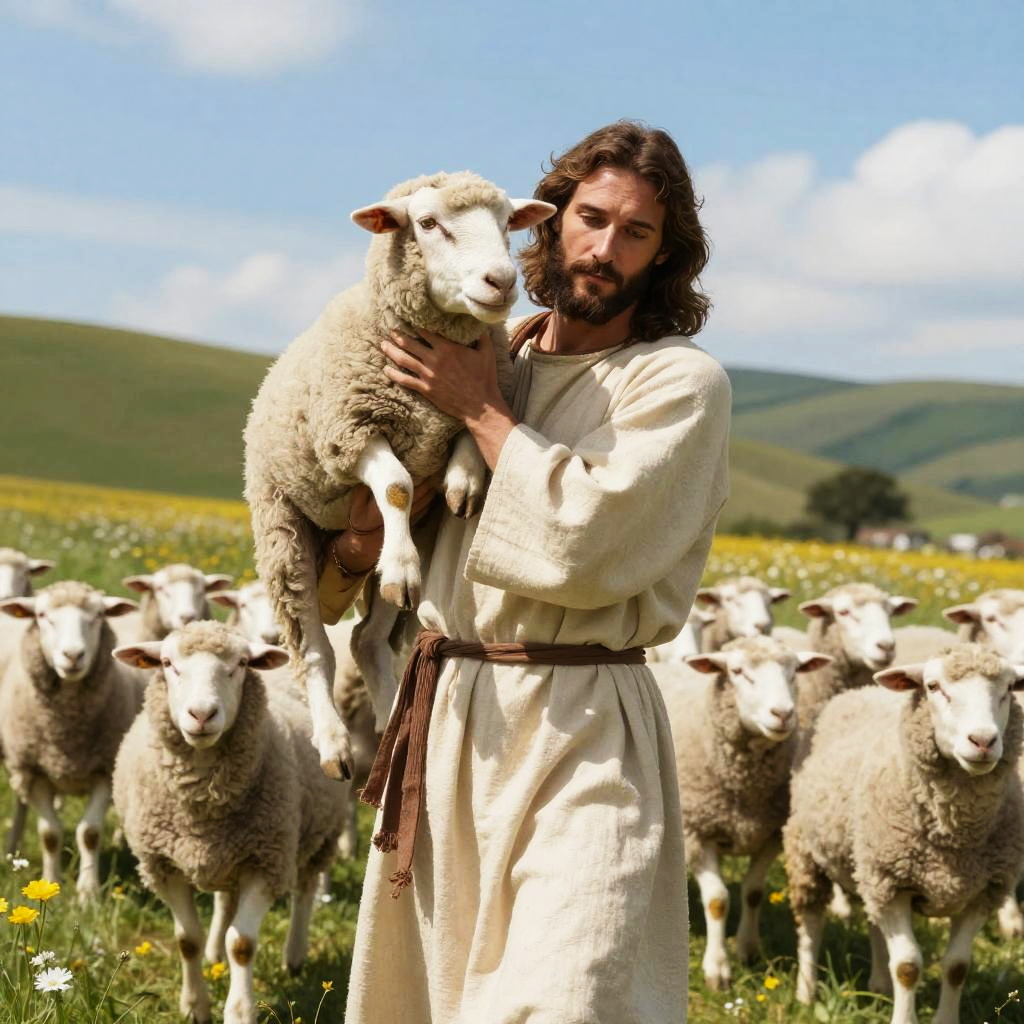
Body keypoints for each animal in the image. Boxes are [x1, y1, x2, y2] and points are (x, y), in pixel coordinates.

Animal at [0, 581, 139, 899]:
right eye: (42, 615)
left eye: (98, 615)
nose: (73, 655)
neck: (67, 737)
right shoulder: (35, 771)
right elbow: (50, 833)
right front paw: (52, 883)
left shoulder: (105, 769)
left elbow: (89, 833)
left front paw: (88, 893)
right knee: (20, 803)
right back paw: (12, 847)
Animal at [112, 621, 347, 1024]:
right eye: (167, 663)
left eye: (240, 664)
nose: (202, 714)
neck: (204, 808)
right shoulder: (163, 866)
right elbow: (186, 939)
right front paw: (194, 1005)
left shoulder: (267, 863)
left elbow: (242, 943)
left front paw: (239, 1010)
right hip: (229, 854)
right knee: (224, 900)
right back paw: (214, 953)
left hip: (319, 834)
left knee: (305, 889)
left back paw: (294, 956)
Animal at [243, 171, 555, 780]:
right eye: (428, 223)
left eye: (508, 222)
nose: (502, 281)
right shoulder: (350, 431)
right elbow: (396, 484)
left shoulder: (481, 391)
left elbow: (470, 433)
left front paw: (464, 481)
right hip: (282, 528)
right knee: (313, 647)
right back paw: (334, 743)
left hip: (417, 541)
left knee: (367, 641)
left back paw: (392, 723)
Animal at [652, 636, 832, 990]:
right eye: (737, 672)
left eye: (794, 671)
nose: (783, 713)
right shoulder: (697, 834)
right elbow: (718, 900)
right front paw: (717, 969)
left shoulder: (771, 833)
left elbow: (753, 892)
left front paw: (748, 949)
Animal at [783, 645, 1024, 1024]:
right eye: (933, 686)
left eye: (1010, 687)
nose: (983, 740)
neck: (954, 837)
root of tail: (857, 691)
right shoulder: (894, 884)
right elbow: (908, 966)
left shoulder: (982, 892)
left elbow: (957, 966)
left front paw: (945, 1019)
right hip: (807, 852)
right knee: (810, 923)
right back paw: (806, 992)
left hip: (867, 869)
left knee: (872, 920)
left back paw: (879, 983)